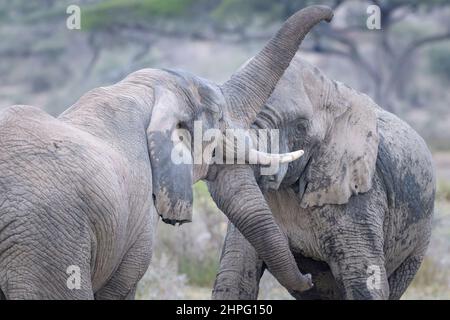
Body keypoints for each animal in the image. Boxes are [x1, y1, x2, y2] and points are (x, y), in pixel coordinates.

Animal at [209, 53, 438, 300]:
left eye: (300, 127)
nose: (307, 277)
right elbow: (235, 279)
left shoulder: (359, 197)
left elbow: (363, 283)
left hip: (419, 239)